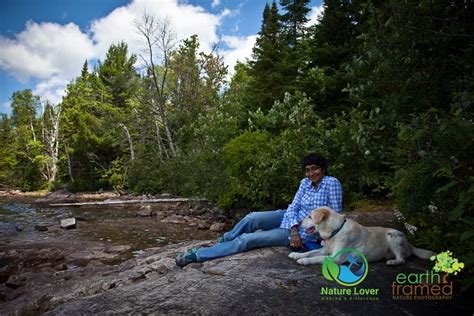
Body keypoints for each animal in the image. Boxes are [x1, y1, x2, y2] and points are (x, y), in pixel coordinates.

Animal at [286, 206, 436, 266]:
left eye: (310, 216)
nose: (299, 222)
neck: (336, 231)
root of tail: (409, 242)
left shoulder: (335, 257)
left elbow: (315, 258)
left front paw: (303, 261)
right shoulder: (325, 250)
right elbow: (310, 252)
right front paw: (297, 255)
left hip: (393, 236)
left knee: (402, 259)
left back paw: (393, 262)